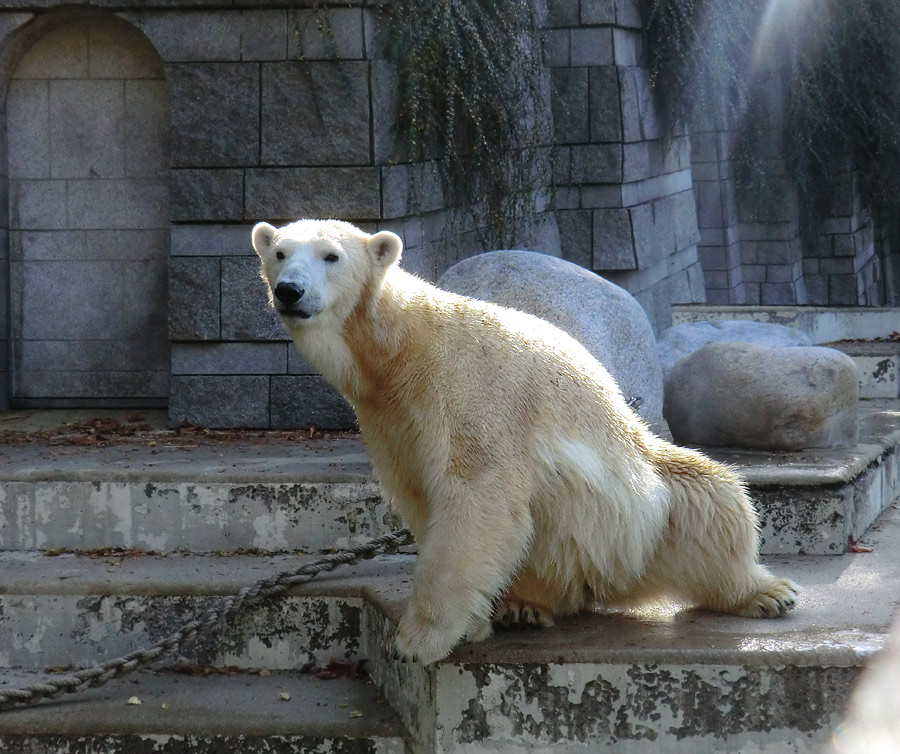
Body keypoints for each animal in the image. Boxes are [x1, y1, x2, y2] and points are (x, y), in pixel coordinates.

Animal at [250, 219, 800, 664]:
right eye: (279, 252)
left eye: (331, 256)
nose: (291, 291)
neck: (397, 352)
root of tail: (605, 582)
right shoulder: (389, 420)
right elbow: (424, 499)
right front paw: (472, 621)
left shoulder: (467, 390)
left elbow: (478, 498)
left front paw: (419, 639)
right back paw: (524, 604)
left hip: (639, 499)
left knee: (711, 497)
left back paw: (763, 593)